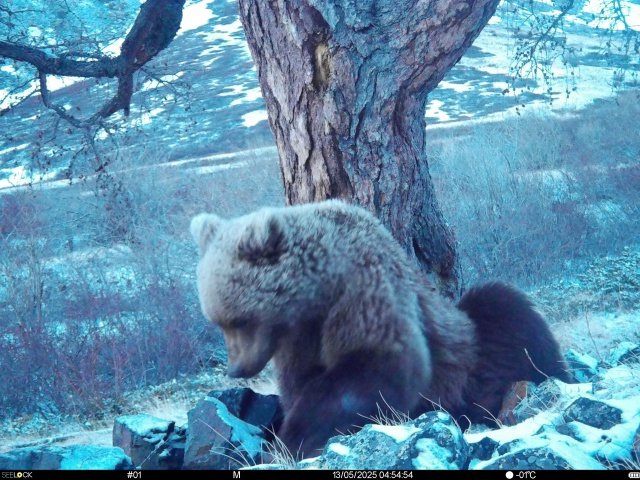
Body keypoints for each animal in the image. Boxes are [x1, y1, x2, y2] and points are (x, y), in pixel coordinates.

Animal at [190, 199, 569, 458]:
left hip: (478, 354)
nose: (236, 369)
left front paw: (295, 437)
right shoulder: (299, 339)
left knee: (510, 316)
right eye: (218, 321)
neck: (318, 296)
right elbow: (299, 382)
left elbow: (382, 369)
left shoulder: (366, 294)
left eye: (241, 319)